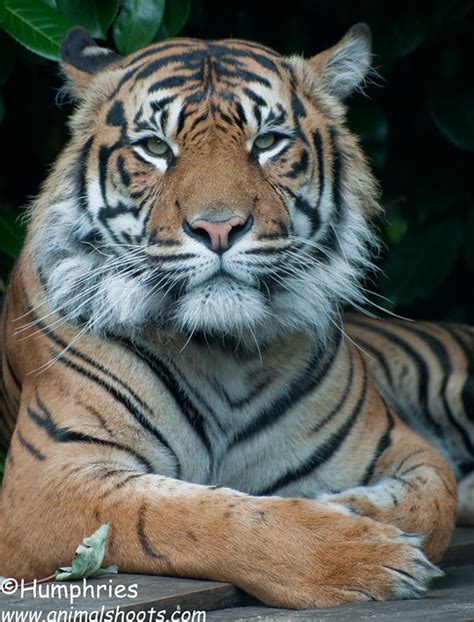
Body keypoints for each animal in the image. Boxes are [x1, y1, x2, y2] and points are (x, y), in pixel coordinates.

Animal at [0, 23, 472, 608]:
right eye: (155, 147)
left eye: (267, 142)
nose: (219, 227)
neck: (223, 350)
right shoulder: (48, 480)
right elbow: (196, 515)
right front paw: (359, 550)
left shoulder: (404, 447)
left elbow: (433, 502)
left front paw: (351, 507)